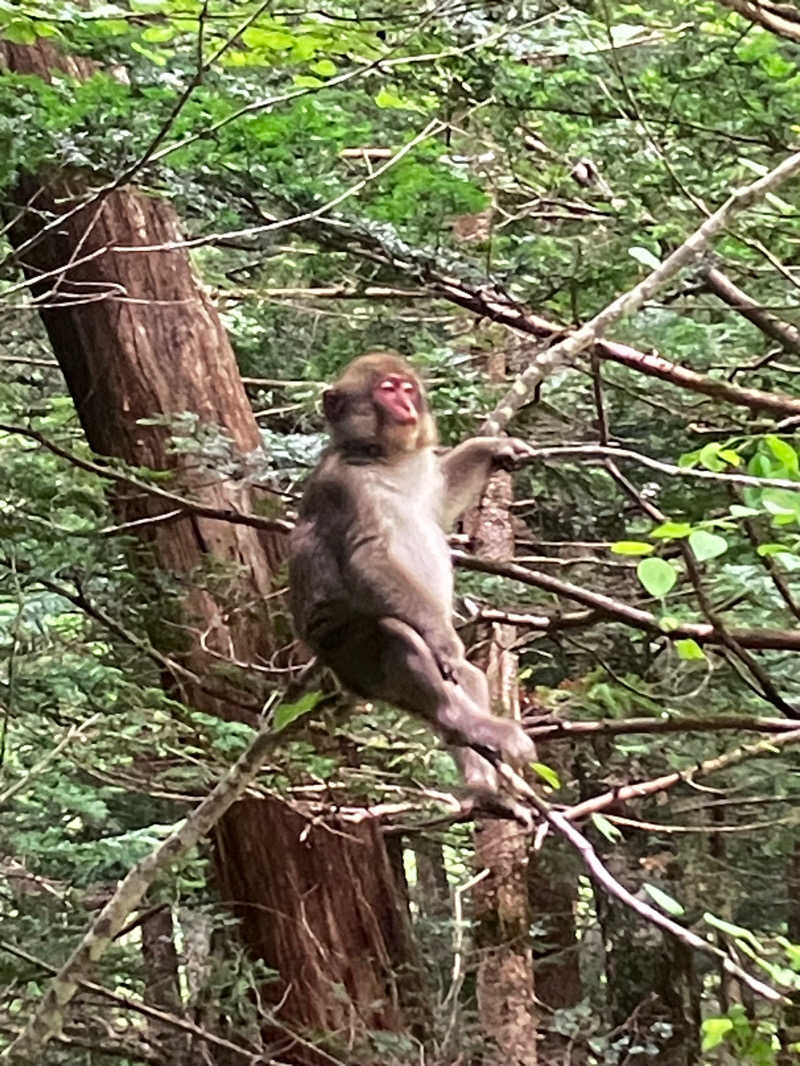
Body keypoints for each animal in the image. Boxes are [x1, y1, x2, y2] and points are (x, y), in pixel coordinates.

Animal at [292, 353, 535, 810]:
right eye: (386, 390)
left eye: (406, 388)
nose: (406, 406)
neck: (383, 458)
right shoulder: (345, 488)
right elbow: (369, 561)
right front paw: (442, 638)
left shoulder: (423, 473)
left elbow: (445, 500)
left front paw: (491, 448)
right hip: (347, 651)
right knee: (396, 634)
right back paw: (461, 720)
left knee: (470, 676)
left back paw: (481, 778)